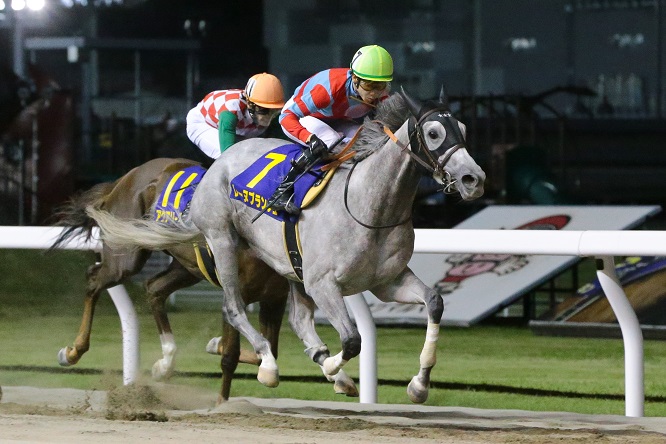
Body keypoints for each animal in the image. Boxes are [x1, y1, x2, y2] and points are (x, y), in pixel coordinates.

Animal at [51, 157, 358, 402]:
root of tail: (125, 178)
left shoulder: (274, 297)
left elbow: (267, 347)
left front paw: (340, 379)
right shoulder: (236, 293)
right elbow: (232, 354)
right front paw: (222, 400)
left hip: (185, 266)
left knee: (154, 288)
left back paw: (165, 362)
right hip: (126, 255)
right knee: (94, 279)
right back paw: (73, 351)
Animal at [87, 88, 486, 403]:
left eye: (465, 130)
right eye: (433, 132)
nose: (474, 179)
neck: (367, 205)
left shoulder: (386, 282)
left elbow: (434, 303)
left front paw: (418, 385)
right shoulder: (323, 283)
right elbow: (352, 340)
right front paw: (328, 365)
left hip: (281, 269)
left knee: (295, 319)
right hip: (220, 241)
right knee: (233, 307)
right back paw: (268, 365)